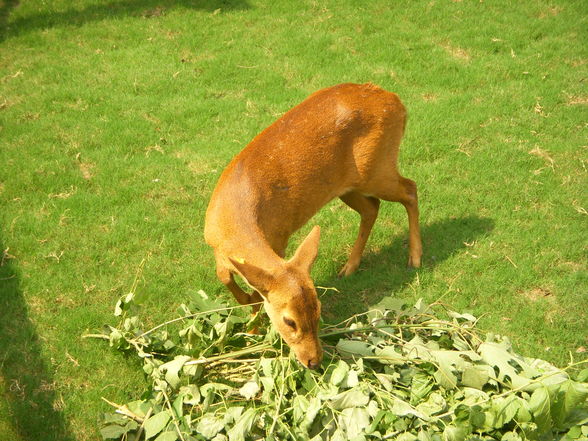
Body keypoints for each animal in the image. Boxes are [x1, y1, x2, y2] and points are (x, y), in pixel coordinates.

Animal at [204, 82, 420, 368]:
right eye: (290, 321)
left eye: (318, 310)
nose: (314, 361)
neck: (233, 219)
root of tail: (396, 101)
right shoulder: (215, 246)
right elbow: (227, 278)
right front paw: (250, 320)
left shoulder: (279, 240)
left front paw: (253, 326)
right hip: (347, 186)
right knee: (373, 207)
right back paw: (349, 267)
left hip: (377, 167)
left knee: (410, 189)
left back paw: (414, 257)